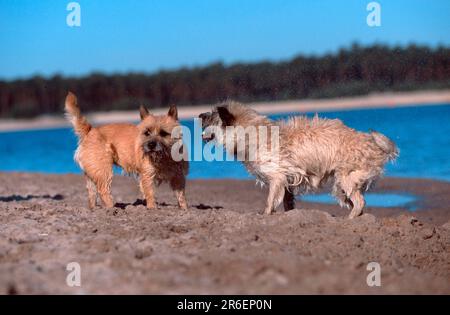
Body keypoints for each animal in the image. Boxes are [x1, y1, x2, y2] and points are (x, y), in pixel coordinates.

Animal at [199, 102, 400, 218]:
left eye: (210, 121)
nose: (199, 116)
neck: (250, 134)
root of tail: (373, 142)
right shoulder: (287, 180)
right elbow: (288, 202)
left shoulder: (277, 177)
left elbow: (270, 201)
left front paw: (265, 215)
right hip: (342, 185)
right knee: (356, 202)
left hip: (346, 179)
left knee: (359, 202)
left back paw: (349, 219)